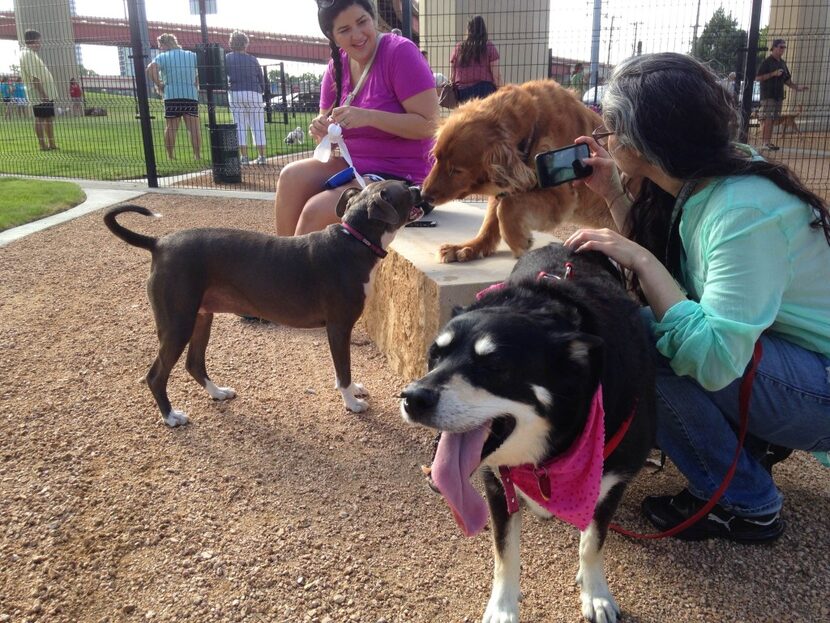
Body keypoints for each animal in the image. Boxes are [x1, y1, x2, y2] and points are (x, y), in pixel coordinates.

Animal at [104, 178, 426, 426]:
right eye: (403, 188)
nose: (420, 188)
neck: (355, 241)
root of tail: (159, 244)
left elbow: (342, 372)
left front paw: (354, 391)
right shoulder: (338, 327)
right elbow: (342, 371)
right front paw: (351, 402)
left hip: (201, 317)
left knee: (194, 364)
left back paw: (217, 393)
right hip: (178, 324)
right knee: (156, 375)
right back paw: (171, 416)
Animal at [404, 244, 656, 623]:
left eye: (494, 366)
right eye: (434, 355)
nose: (412, 397)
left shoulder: (613, 482)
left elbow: (592, 543)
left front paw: (595, 594)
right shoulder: (498, 484)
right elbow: (505, 552)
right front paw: (502, 607)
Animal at [426, 78, 616, 264]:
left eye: (456, 170)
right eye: (436, 158)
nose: (423, 195)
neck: (534, 126)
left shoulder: (561, 197)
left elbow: (506, 207)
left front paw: (518, 240)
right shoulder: (505, 187)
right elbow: (491, 219)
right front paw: (468, 247)